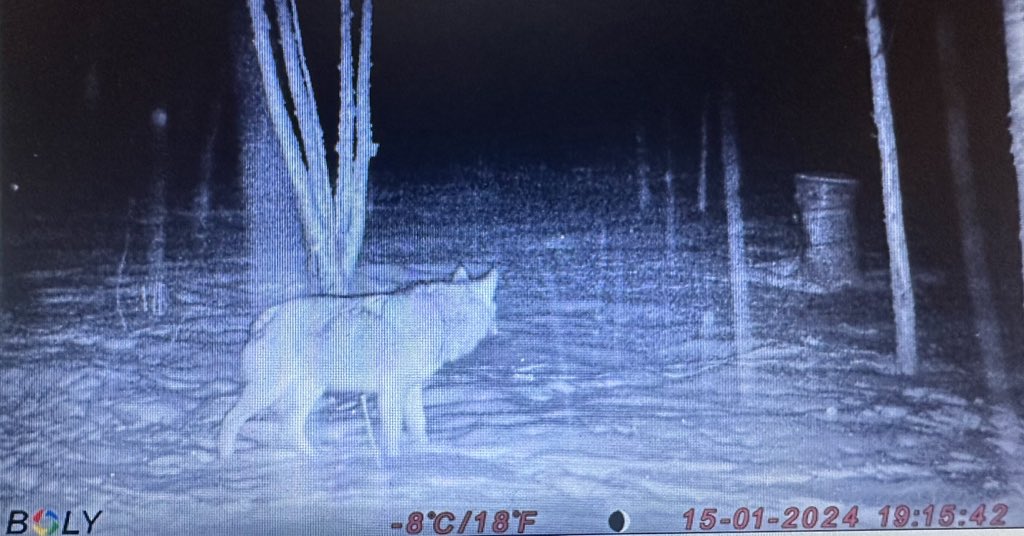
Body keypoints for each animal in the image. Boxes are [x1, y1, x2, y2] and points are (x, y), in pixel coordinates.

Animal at [218, 267, 498, 458]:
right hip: (270, 391)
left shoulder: (412, 390)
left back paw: (313, 459)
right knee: (231, 419)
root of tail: (268, 315)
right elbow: (392, 435)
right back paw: (225, 461)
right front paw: (395, 464)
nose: (498, 329)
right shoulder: (391, 392)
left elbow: (420, 427)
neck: (441, 318)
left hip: (308, 392)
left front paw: (425, 457)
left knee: (288, 426)